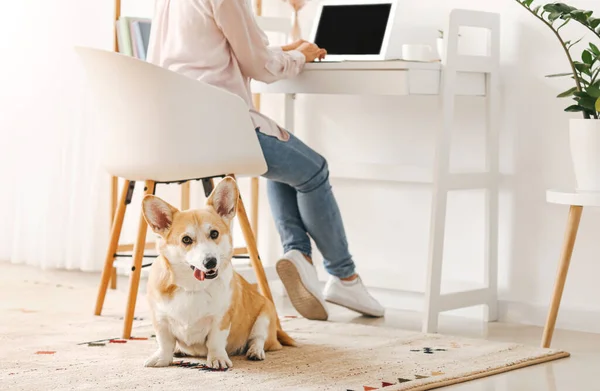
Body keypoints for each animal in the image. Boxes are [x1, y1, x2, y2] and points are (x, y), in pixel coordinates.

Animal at [141, 176, 296, 370]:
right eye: (186, 239)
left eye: (214, 233)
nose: (210, 262)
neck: (192, 288)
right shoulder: (160, 319)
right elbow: (165, 342)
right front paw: (162, 358)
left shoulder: (221, 319)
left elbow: (215, 341)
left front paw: (217, 359)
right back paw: (179, 350)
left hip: (265, 314)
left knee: (258, 339)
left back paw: (255, 352)